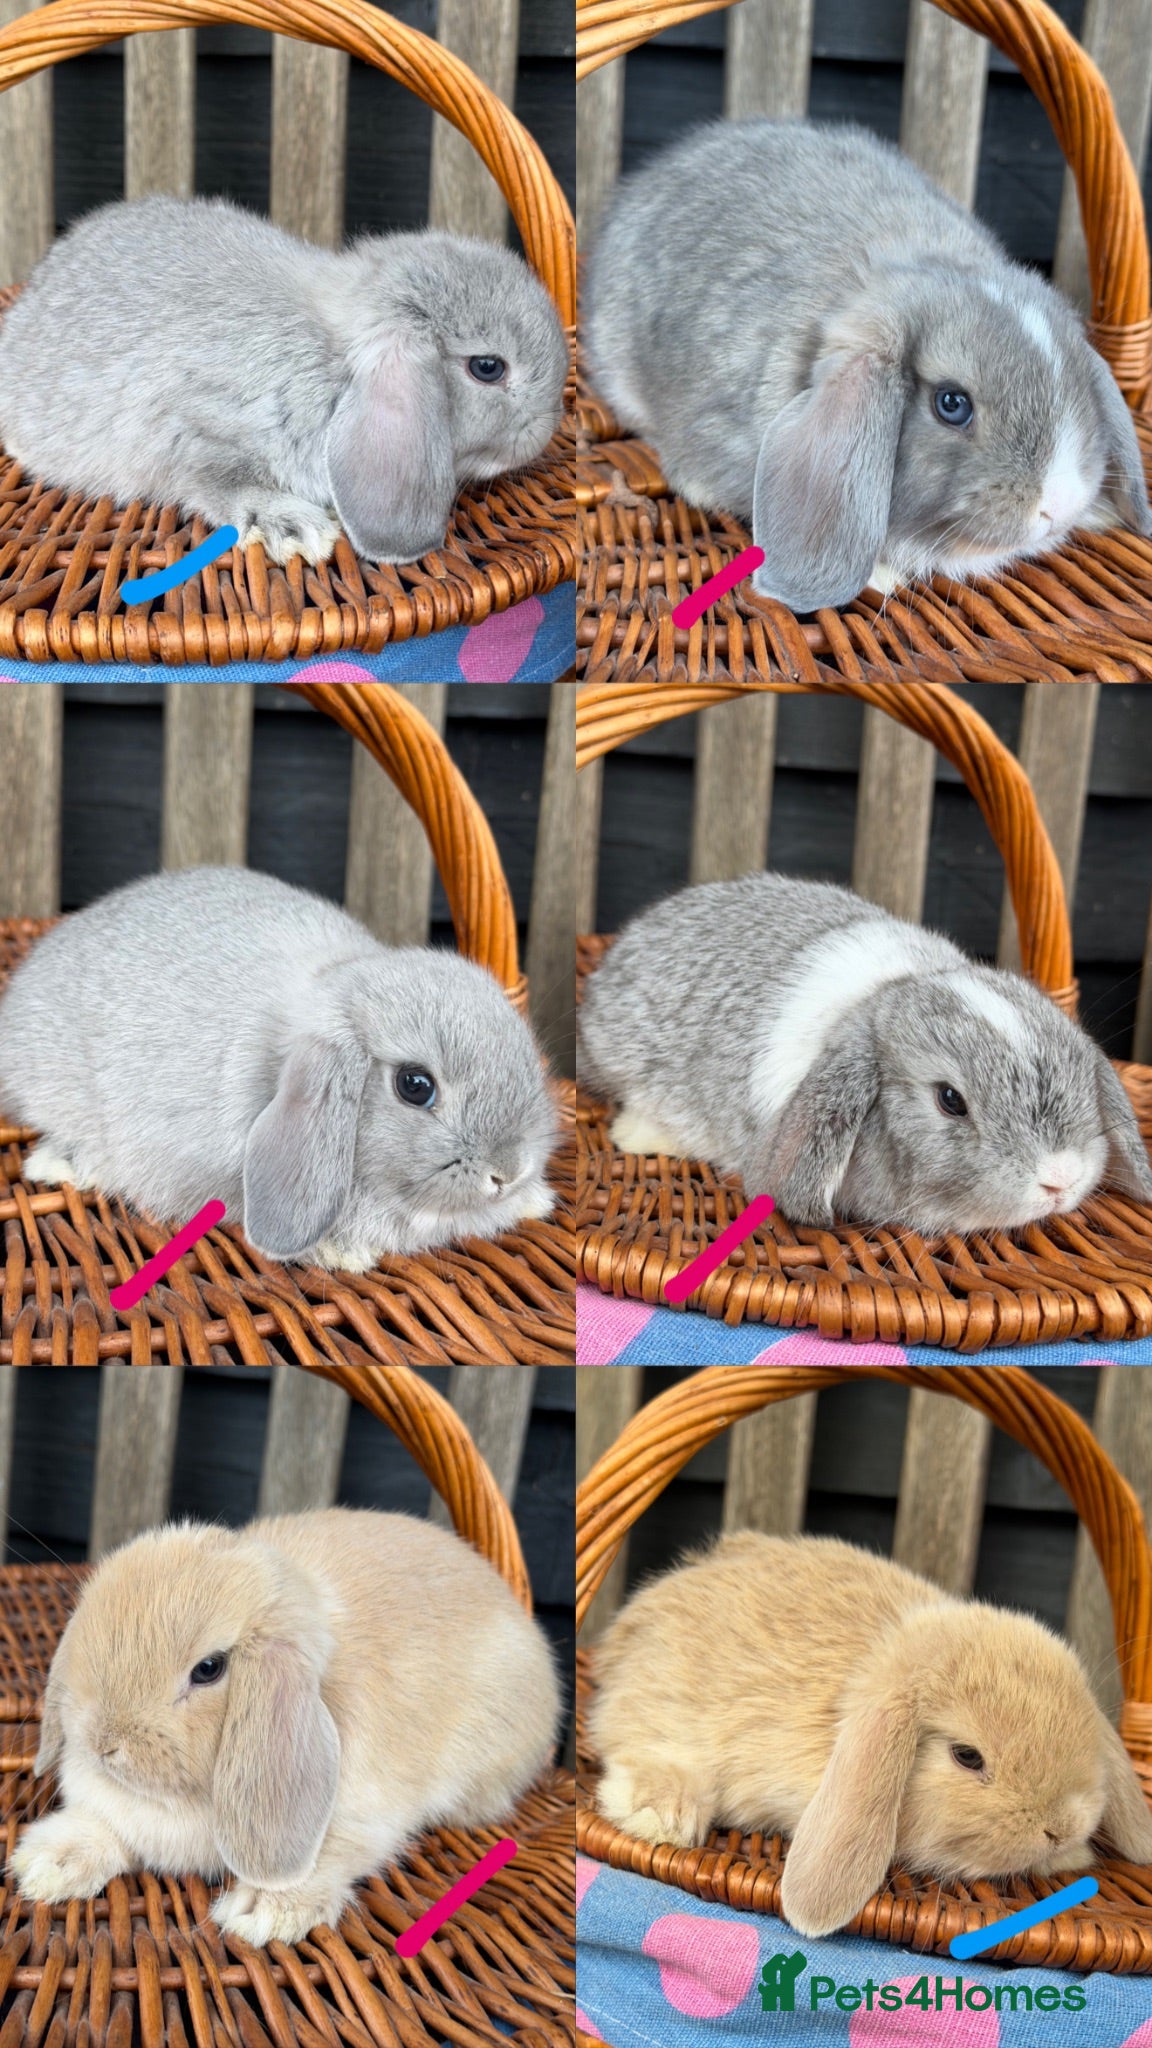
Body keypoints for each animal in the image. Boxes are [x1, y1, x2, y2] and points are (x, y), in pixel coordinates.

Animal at [0, 194, 568, 566]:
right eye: (488, 367)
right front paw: (298, 530)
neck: (333, 361)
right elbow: (219, 482)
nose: (545, 431)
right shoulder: (201, 428)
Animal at [9, 1508, 560, 1945]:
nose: (103, 1742)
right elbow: (106, 1826)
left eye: (209, 1669)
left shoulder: (361, 1822)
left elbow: (326, 1859)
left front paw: (262, 1913)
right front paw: (46, 1864)